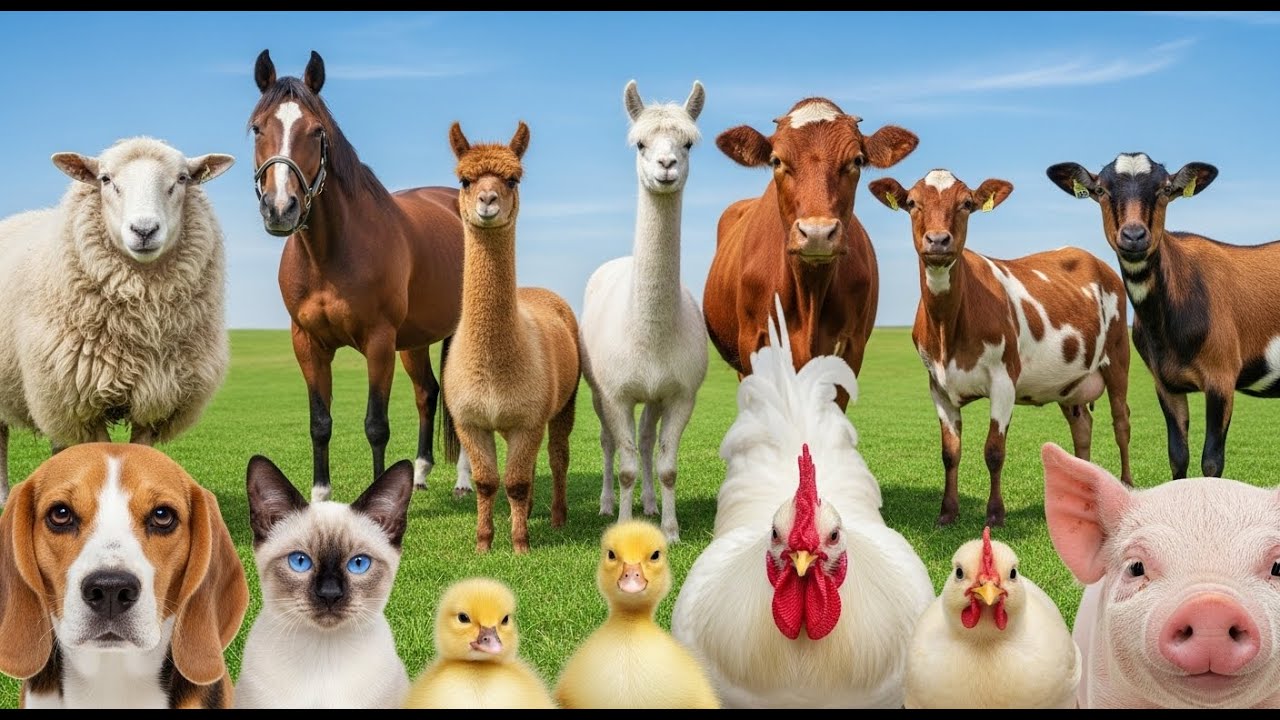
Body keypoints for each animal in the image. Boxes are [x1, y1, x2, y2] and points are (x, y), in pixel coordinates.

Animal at [869, 169, 1132, 527]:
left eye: (967, 203)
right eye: (911, 203)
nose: (937, 240)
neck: (948, 328)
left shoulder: (1004, 379)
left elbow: (994, 451)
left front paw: (995, 514)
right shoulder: (937, 385)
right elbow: (950, 453)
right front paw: (947, 513)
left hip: (1118, 356)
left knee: (1121, 423)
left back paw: (1127, 486)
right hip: (1069, 383)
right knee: (1082, 428)